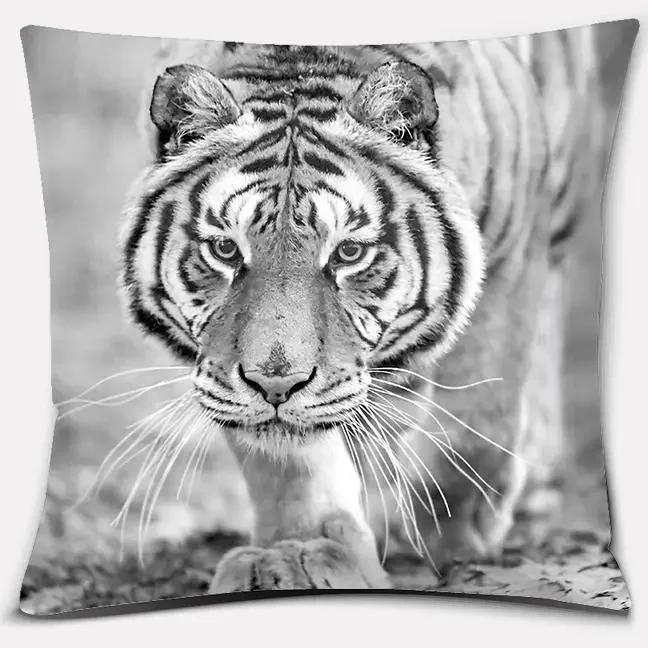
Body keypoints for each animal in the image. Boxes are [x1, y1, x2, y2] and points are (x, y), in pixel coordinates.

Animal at [120, 30, 603, 591]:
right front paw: (295, 554)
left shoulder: (513, 255)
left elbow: (478, 418)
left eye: (349, 253)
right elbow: (290, 461)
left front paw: (449, 533)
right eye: (224, 250)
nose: (276, 386)